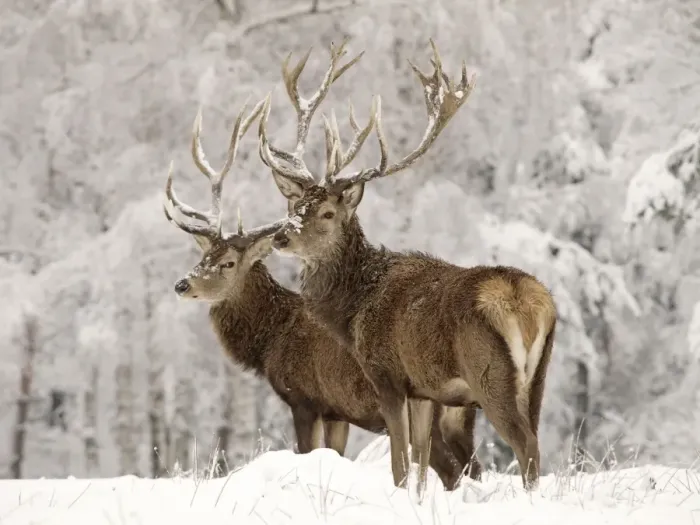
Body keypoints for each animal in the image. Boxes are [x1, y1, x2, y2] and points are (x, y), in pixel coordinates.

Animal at [162, 96, 475, 490]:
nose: (182, 284)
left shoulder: (305, 399)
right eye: (203, 256)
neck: (270, 341)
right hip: (458, 418)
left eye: (228, 262)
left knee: (451, 470)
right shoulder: (337, 412)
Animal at [258, 39, 557, 491]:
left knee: (526, 445)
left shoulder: (386, 375)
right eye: (295, 206)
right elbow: (419, 461)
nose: (281, 237)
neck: (352, 311)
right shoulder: (423, 391)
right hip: (537, 377)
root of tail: (525, 301)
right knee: (535, 439)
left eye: (327, 212)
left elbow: (400, 463)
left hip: (490, 373)